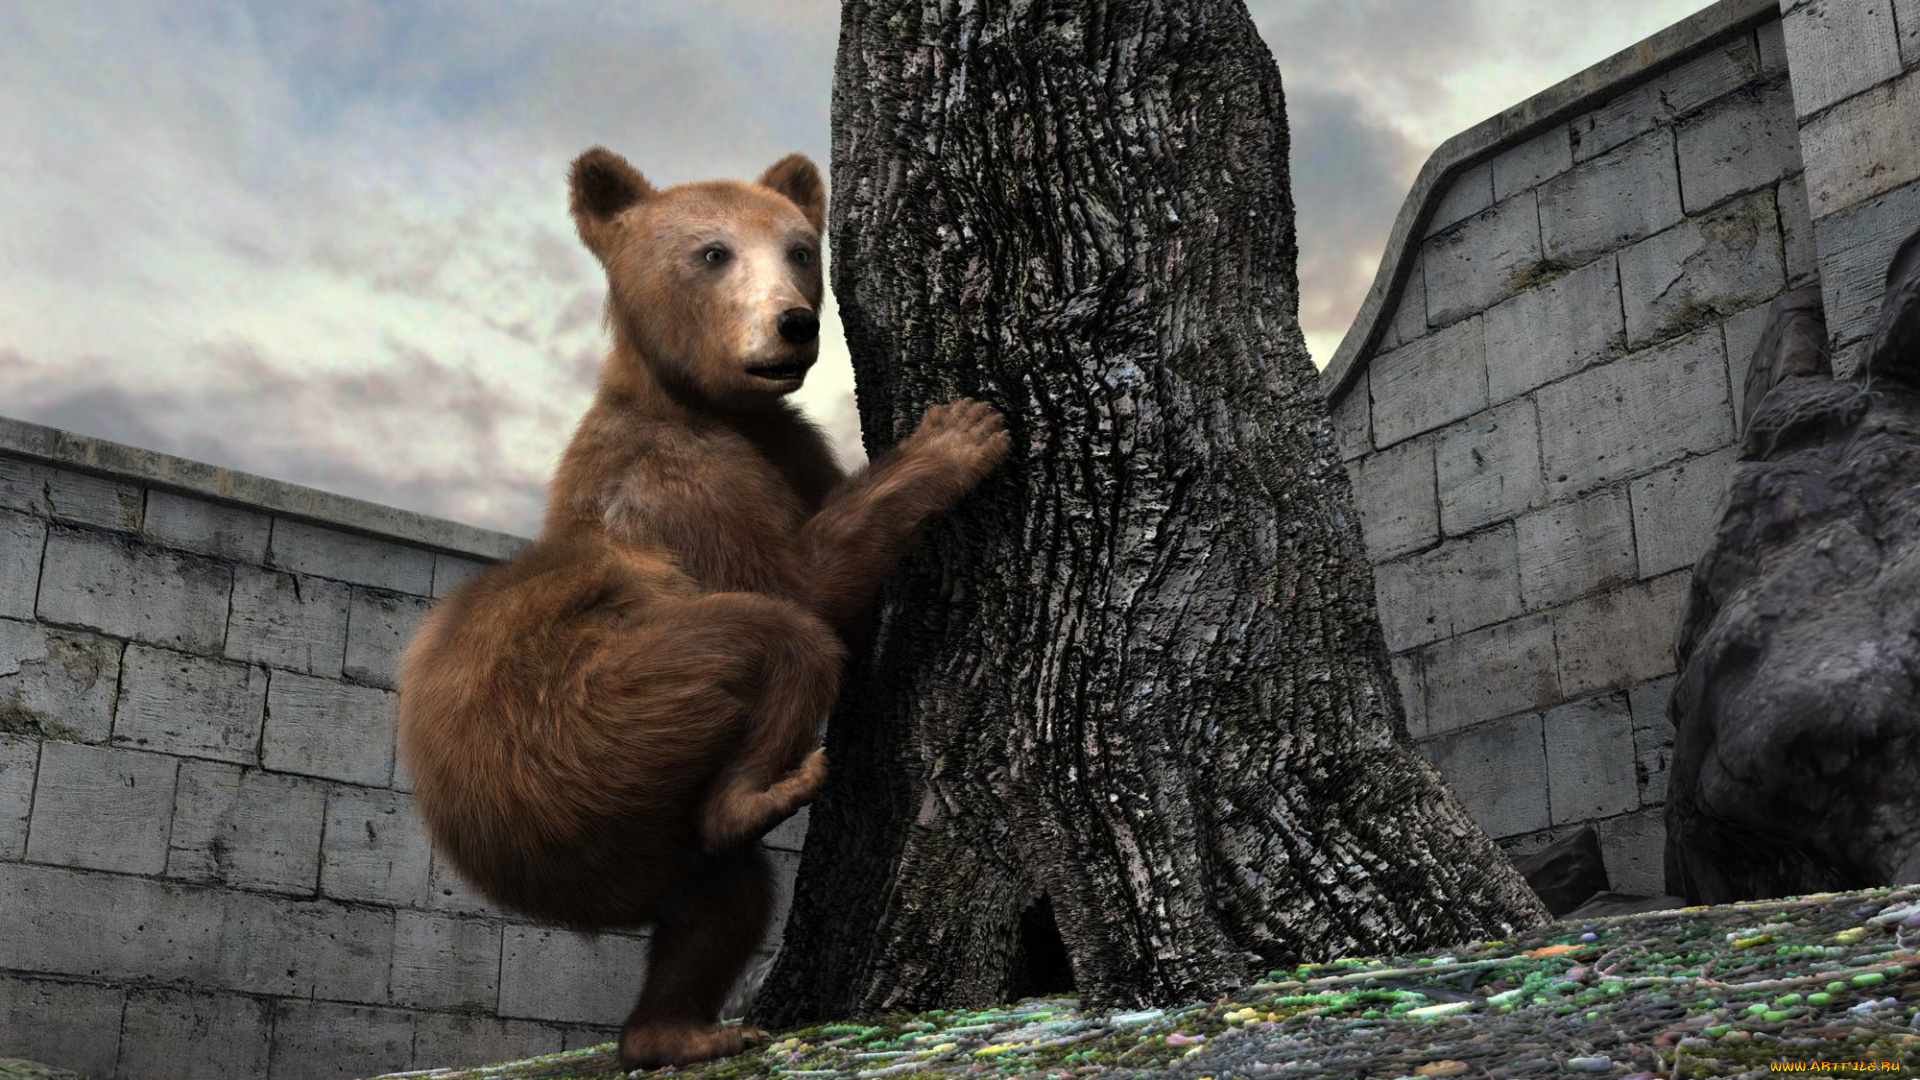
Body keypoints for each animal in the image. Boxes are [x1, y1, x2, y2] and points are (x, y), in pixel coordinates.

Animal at [395, 145, 1009, 1071]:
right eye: (713, 252)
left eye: (799, 248)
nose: (794, 324)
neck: (698, 403)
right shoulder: (680, 487)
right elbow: (802, 582)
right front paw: (958, 435)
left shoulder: (787, 447)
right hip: (596, 723)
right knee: (774, 637)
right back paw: (759, 796)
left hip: (639, 830)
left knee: (722, 904)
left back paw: (676, 1030)